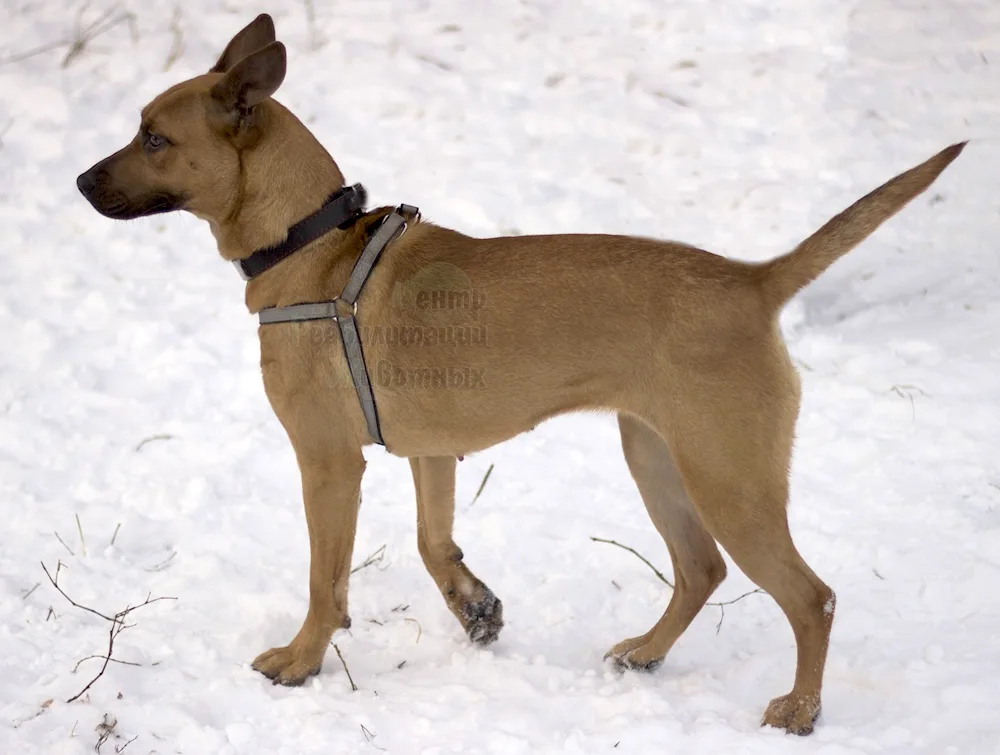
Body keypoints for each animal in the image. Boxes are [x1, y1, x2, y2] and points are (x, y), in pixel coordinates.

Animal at [74, 14, 964, 740]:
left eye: (153, 138)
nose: (81, 181)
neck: (312, 243)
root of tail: (753, 280)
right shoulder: (428, 452)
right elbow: (434, 543)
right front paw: (476, 606)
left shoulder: (328, 463)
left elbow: (326, 581)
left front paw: (301, 661)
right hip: (656, 456)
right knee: (700, 568)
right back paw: (647, 650)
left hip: (728, 476)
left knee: (811, 596)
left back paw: (801, 710)